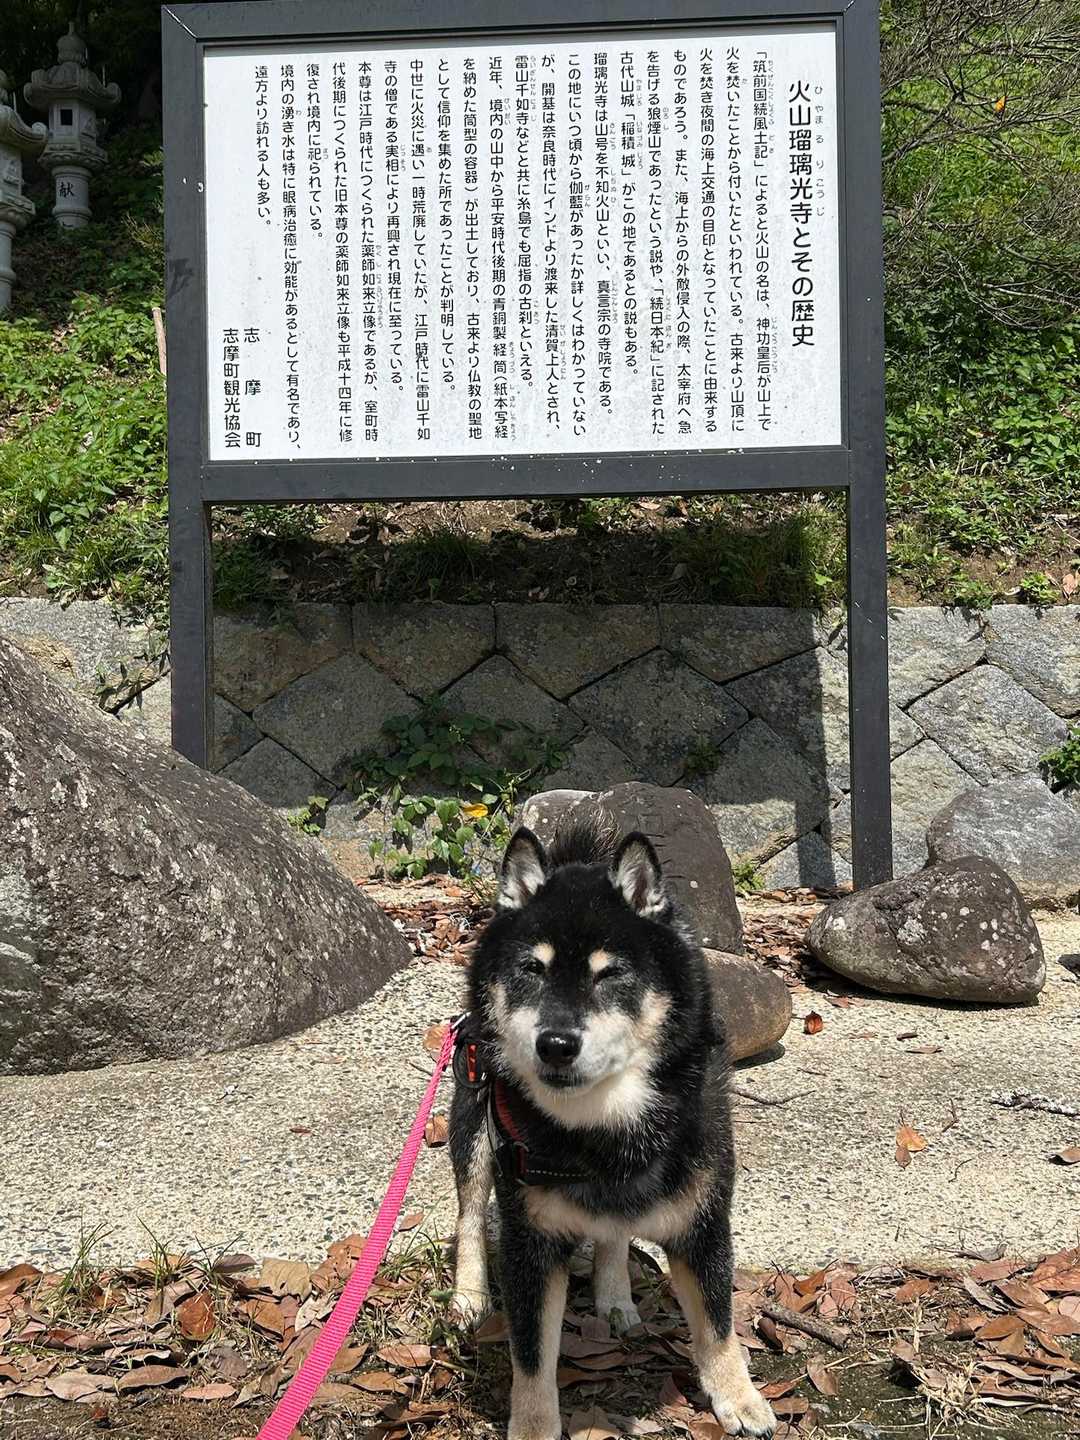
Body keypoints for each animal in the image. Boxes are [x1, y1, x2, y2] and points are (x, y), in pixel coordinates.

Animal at [449, 820, 776, 1440]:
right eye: (532, 970)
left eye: (610, 974)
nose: (555, 1043)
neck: (602, 1130)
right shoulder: (531, 1241)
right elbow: (532, 1355)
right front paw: (533, 1426)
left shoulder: (703, 1222)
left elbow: (718, 1324)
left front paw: (739, 1398)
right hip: (474, 1123)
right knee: (470, 1215)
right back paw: (469, 1295)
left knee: (614, 1229)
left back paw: (615, 1293)